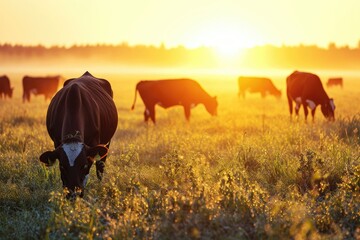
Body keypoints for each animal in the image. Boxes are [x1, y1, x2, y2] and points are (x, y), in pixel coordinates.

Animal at [39, 71, 118, 199]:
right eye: (62, 166)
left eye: (83, 165)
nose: (73, 194)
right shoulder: (57, 142)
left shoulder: (93, 145)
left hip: (106, 143)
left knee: (100, 166)